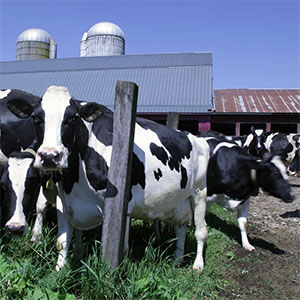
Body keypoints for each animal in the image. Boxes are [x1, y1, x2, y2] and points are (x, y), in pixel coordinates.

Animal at [8, 86, 211, 272]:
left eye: (73, 118)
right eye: (35, 118)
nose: (50, 156)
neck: (75, 179)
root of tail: (192, 136)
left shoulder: (123, 205)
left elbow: (121, 250)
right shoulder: (64, 201)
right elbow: (62, 242)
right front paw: (59, 273)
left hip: (200, 192)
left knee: (201, 231)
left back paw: (198, 265)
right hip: (179, 202)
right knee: (181, 227)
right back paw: (177, 259)